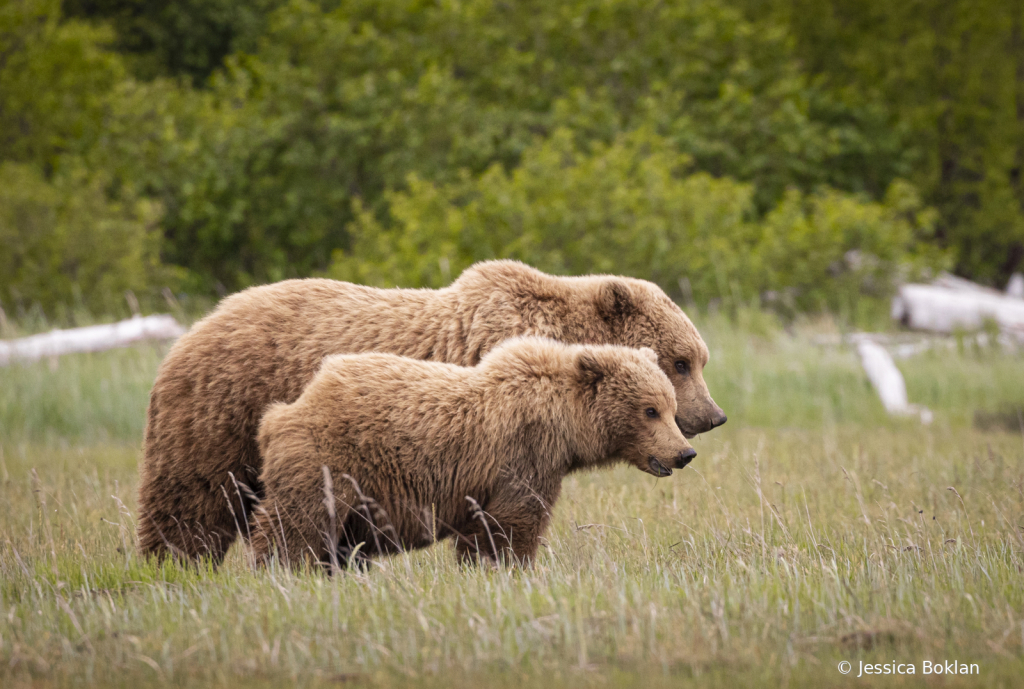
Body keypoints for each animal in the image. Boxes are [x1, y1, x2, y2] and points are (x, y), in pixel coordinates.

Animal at [252, 335, 696, 565]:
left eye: (670, 406)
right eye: (650, 410)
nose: (684, 453)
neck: (564, 423)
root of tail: (286, 410)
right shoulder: (523, 458)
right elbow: (511, 526)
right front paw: (505, 567)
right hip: (330, 462)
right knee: (297, 525)